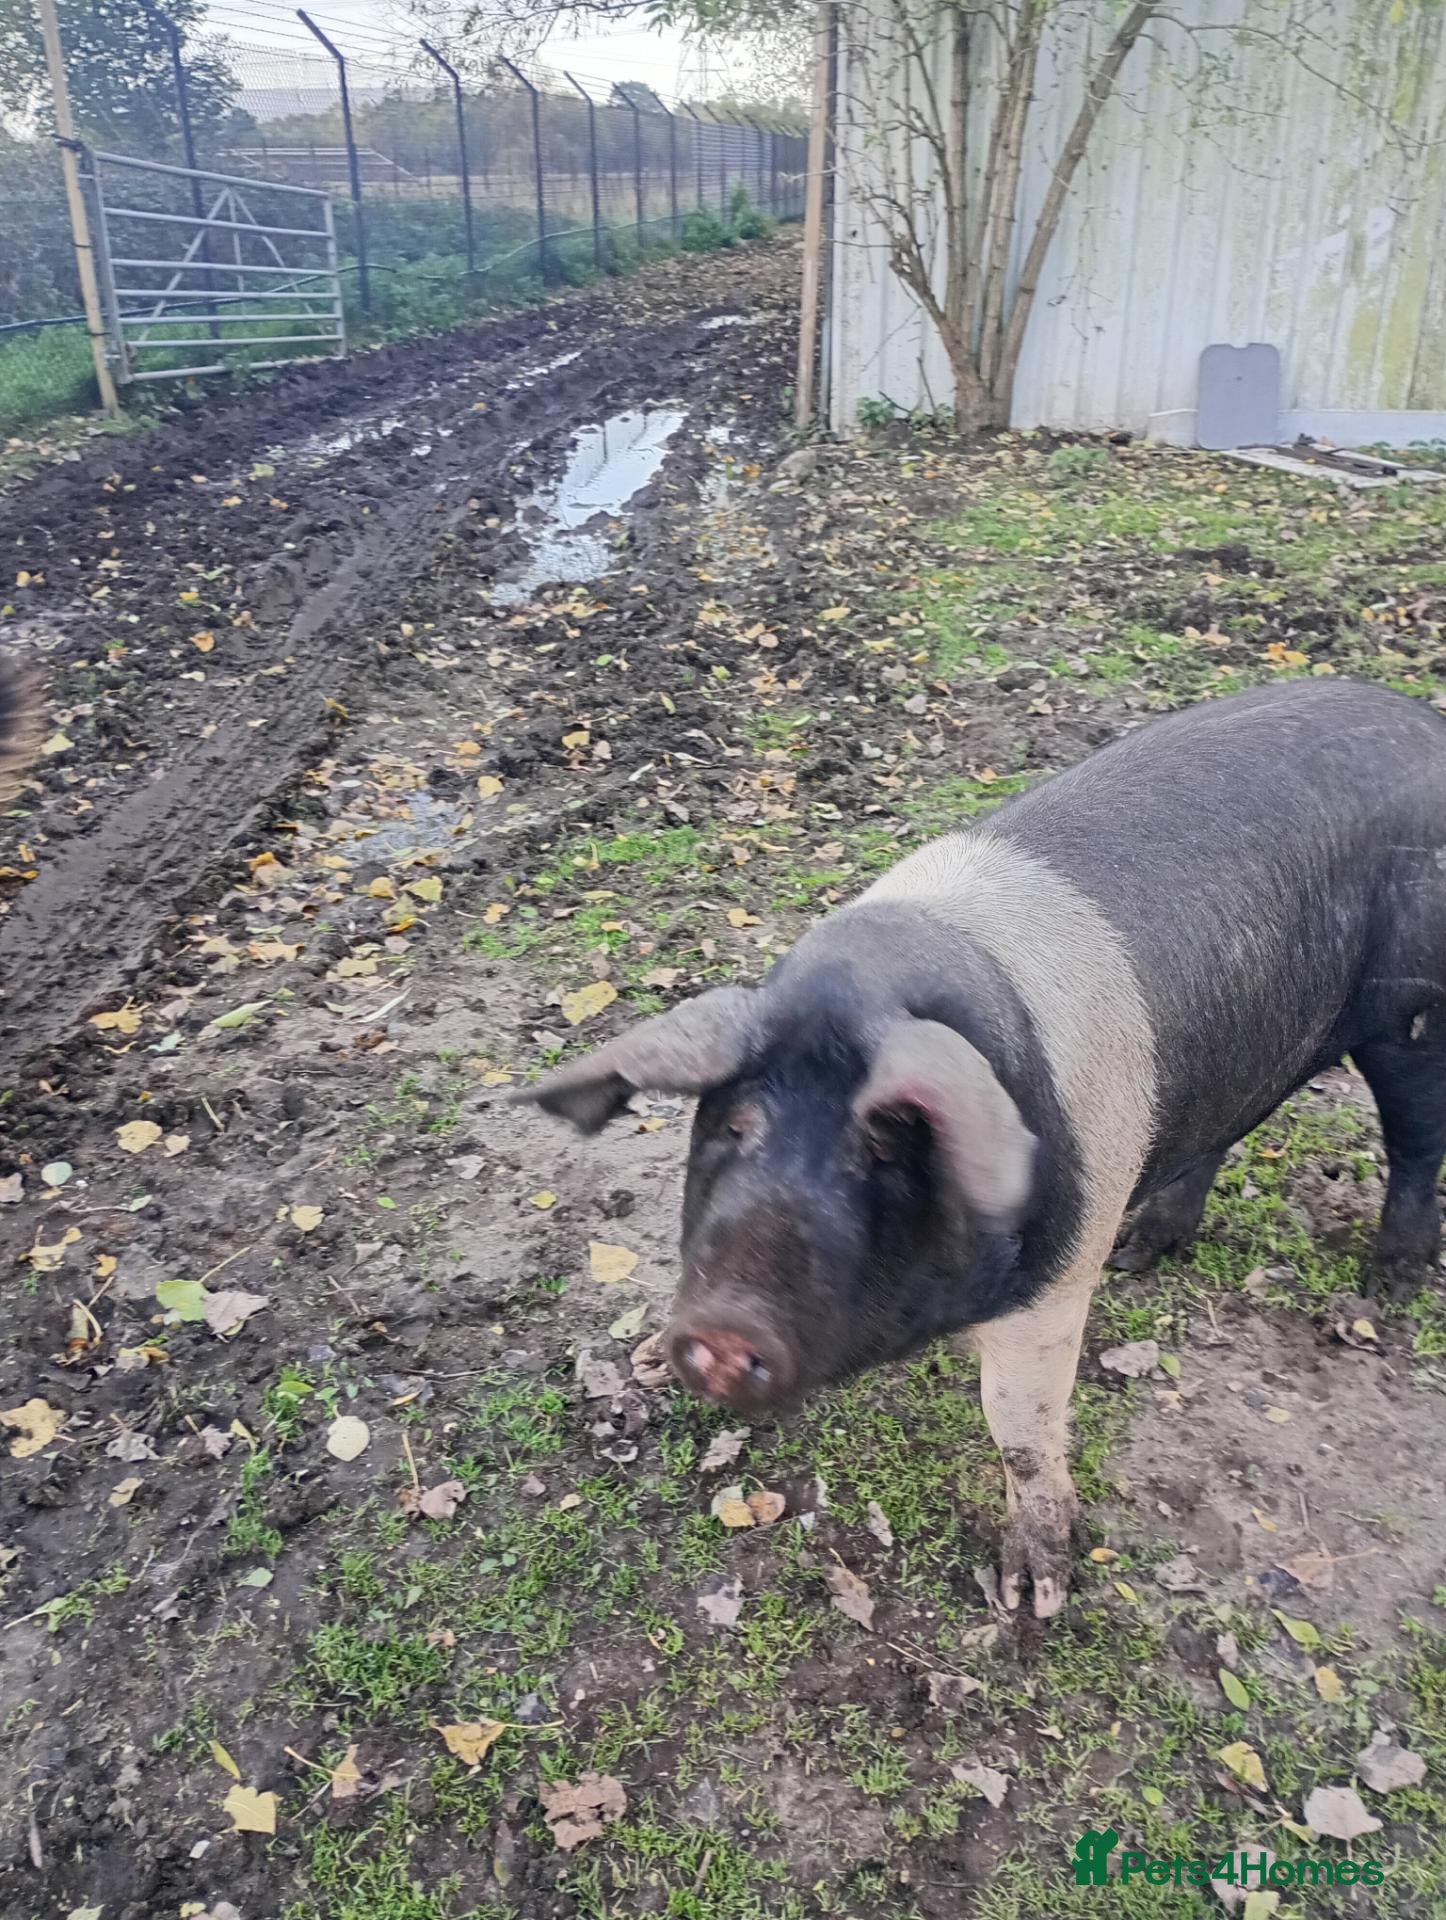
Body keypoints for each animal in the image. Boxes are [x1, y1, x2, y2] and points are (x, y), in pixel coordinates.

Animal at [518, 680, 1446, 1616]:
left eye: (881, 1145)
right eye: (736, 1127)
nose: (719, 1328)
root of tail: (1423, 719)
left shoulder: (1053, 1287)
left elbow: (1020, 1427)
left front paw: (1031, 1597)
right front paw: (642, 1362)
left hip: (1414, 1012)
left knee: (1416, 1144)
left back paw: (1381, 1296)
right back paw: (1141, 1252)